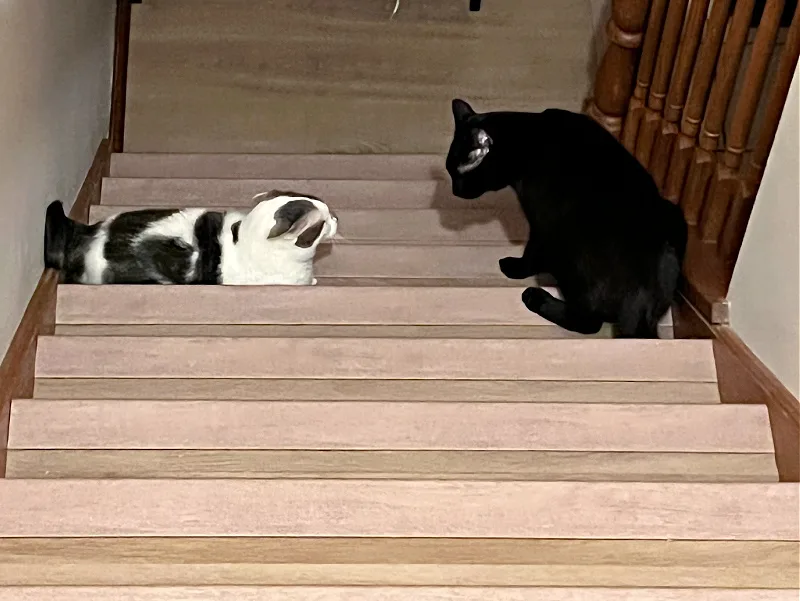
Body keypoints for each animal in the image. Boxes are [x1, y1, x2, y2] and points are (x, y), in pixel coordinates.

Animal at [444, 98, 688, 338]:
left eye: (459, 173)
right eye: (449, 172)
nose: (455, 190)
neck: (529, 138)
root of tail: (641, 305)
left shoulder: (541, 223)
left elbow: (530, 255)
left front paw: (516, 269)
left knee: (587, 322)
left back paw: (537, 298)